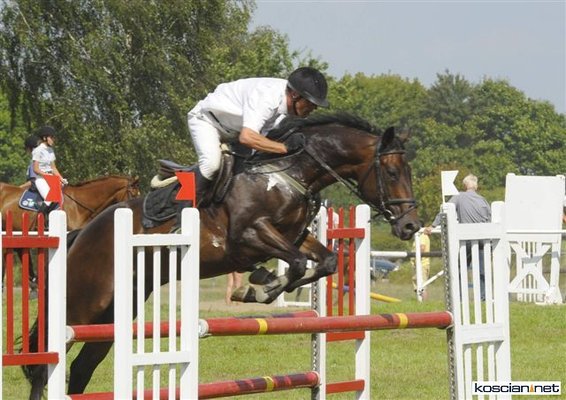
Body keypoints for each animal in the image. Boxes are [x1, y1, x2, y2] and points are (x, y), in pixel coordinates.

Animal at [25, 114, 420, 398]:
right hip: (83, 305)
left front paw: (264, 284)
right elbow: (293, 262)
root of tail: (80, 233)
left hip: (114, 313)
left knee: (81, 369)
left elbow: (324, 261)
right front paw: (259, 287)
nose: (410, 226)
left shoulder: (296, 236)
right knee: (46, 361)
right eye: (392, 172)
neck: (288, 174)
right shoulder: (248, 237)